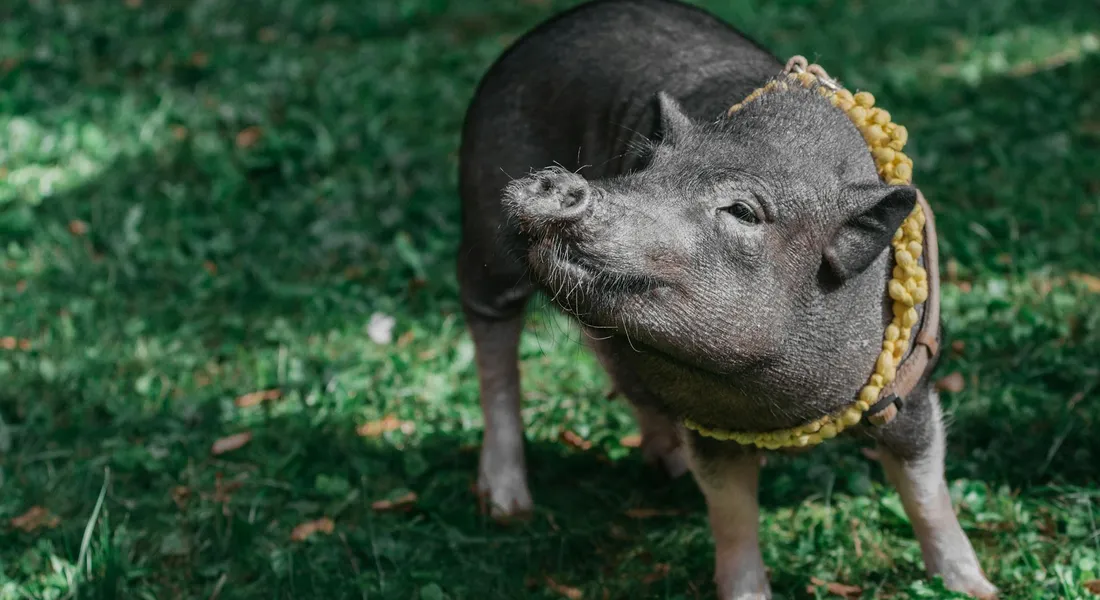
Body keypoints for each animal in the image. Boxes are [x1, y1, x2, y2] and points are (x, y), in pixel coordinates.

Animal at [456, 0, 997, 598]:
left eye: (742, 211)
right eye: (643, 167)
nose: (560, 182)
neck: (781, 409)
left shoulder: (909, 383)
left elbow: (926, 491)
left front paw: (976, 588)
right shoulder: (709, 427)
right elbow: (732, 515)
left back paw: (662, 464)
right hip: (483, 234)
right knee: (494, 346)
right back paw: (507, 508)